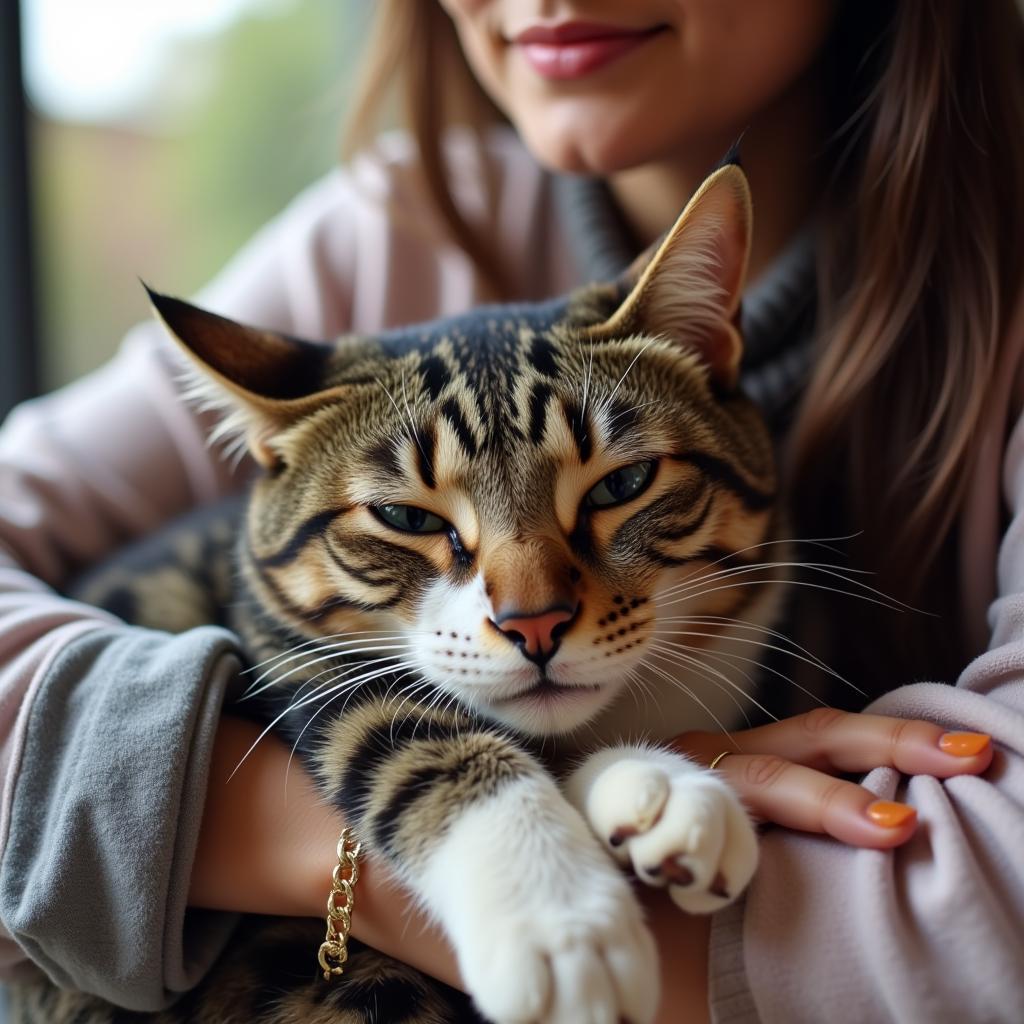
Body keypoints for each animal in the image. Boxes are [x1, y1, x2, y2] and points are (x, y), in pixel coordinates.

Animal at [9, 159, 774, 1024]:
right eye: (406, 516)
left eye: (625, 483)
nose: (535, 624)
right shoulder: (288, 658)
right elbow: (410, 739)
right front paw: (560, 918)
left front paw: (655, 787)